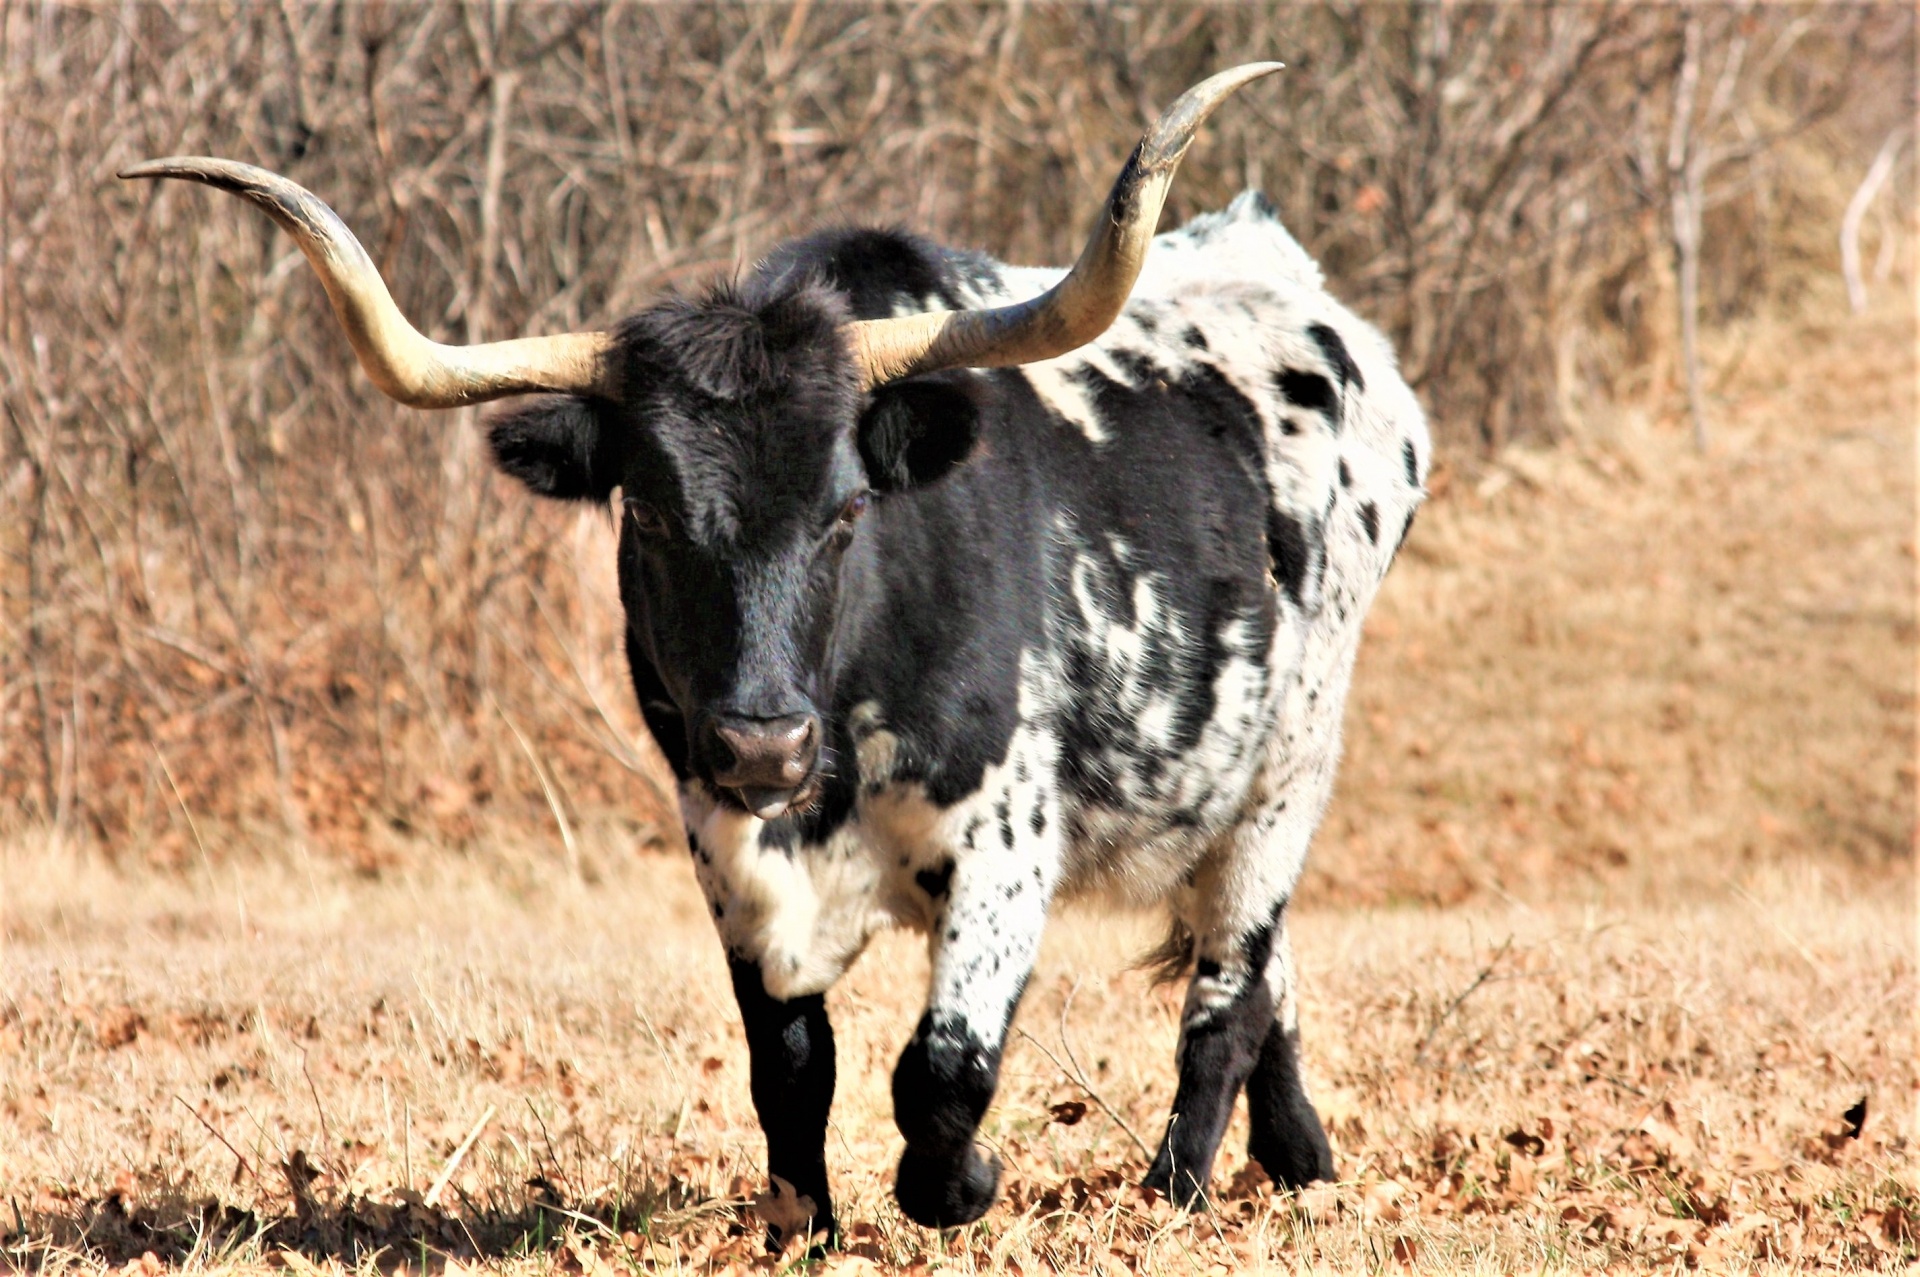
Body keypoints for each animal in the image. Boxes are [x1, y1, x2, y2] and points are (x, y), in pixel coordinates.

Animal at [131, 64, 1428, 1236]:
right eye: (649, 513)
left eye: (848, 509)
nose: (764, 741)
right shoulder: (724, 847)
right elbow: (791, 1068)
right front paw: (804, 1224)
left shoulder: (1007, 838)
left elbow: (940, 1069)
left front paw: (964, 1184)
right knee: (1260, 967)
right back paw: (1299, 1156)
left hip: (1291, 762)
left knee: (1229, 981)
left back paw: (1178, 1186)